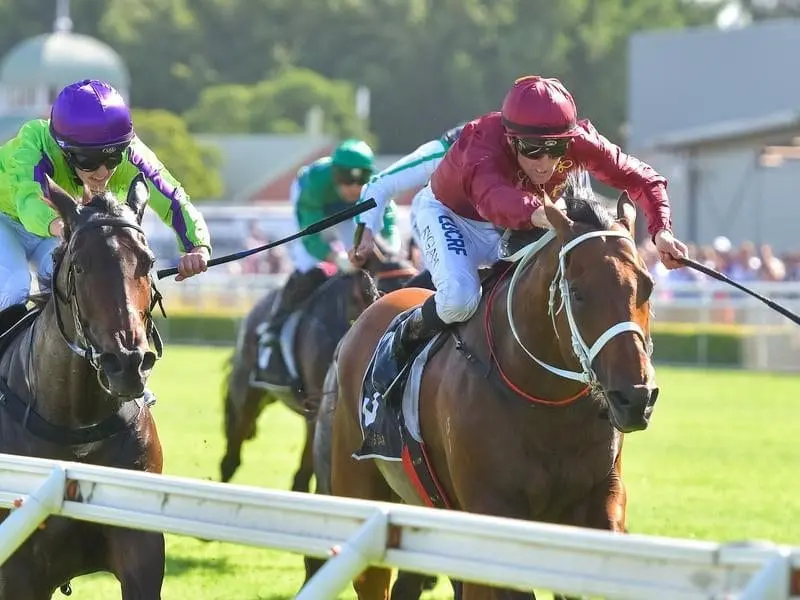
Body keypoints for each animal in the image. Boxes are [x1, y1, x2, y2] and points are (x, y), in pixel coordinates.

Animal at [318, 192, 656, 600]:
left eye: (648, 286)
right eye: (577, 292)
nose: (635, 398)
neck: (546, 405)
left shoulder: (600, 501)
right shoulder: (491, 510)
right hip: (359, 486)